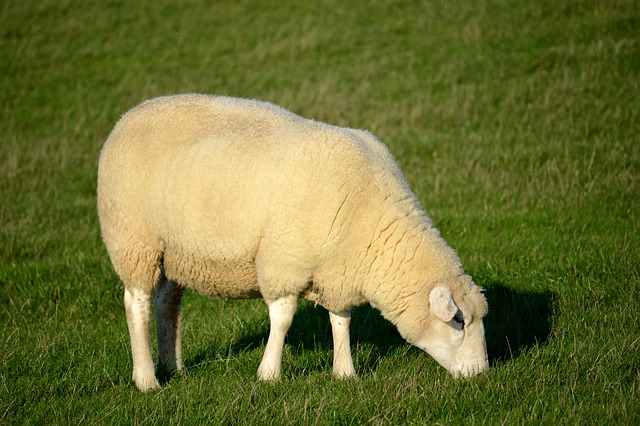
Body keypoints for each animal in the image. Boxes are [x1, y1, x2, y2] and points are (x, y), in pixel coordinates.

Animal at [97, 95, 488, 392]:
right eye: (459, 321)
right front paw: (269, 374)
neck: (370, 218)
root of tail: (128, 116)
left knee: (167, 302)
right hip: (134, 241)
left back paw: (172, 366)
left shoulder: (337, 269)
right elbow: (283, 320)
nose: (481, 375)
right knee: (137, 304)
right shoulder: (283, 262)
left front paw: (345, 372)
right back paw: (147, 379)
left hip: (176, 252)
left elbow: (341, 320)